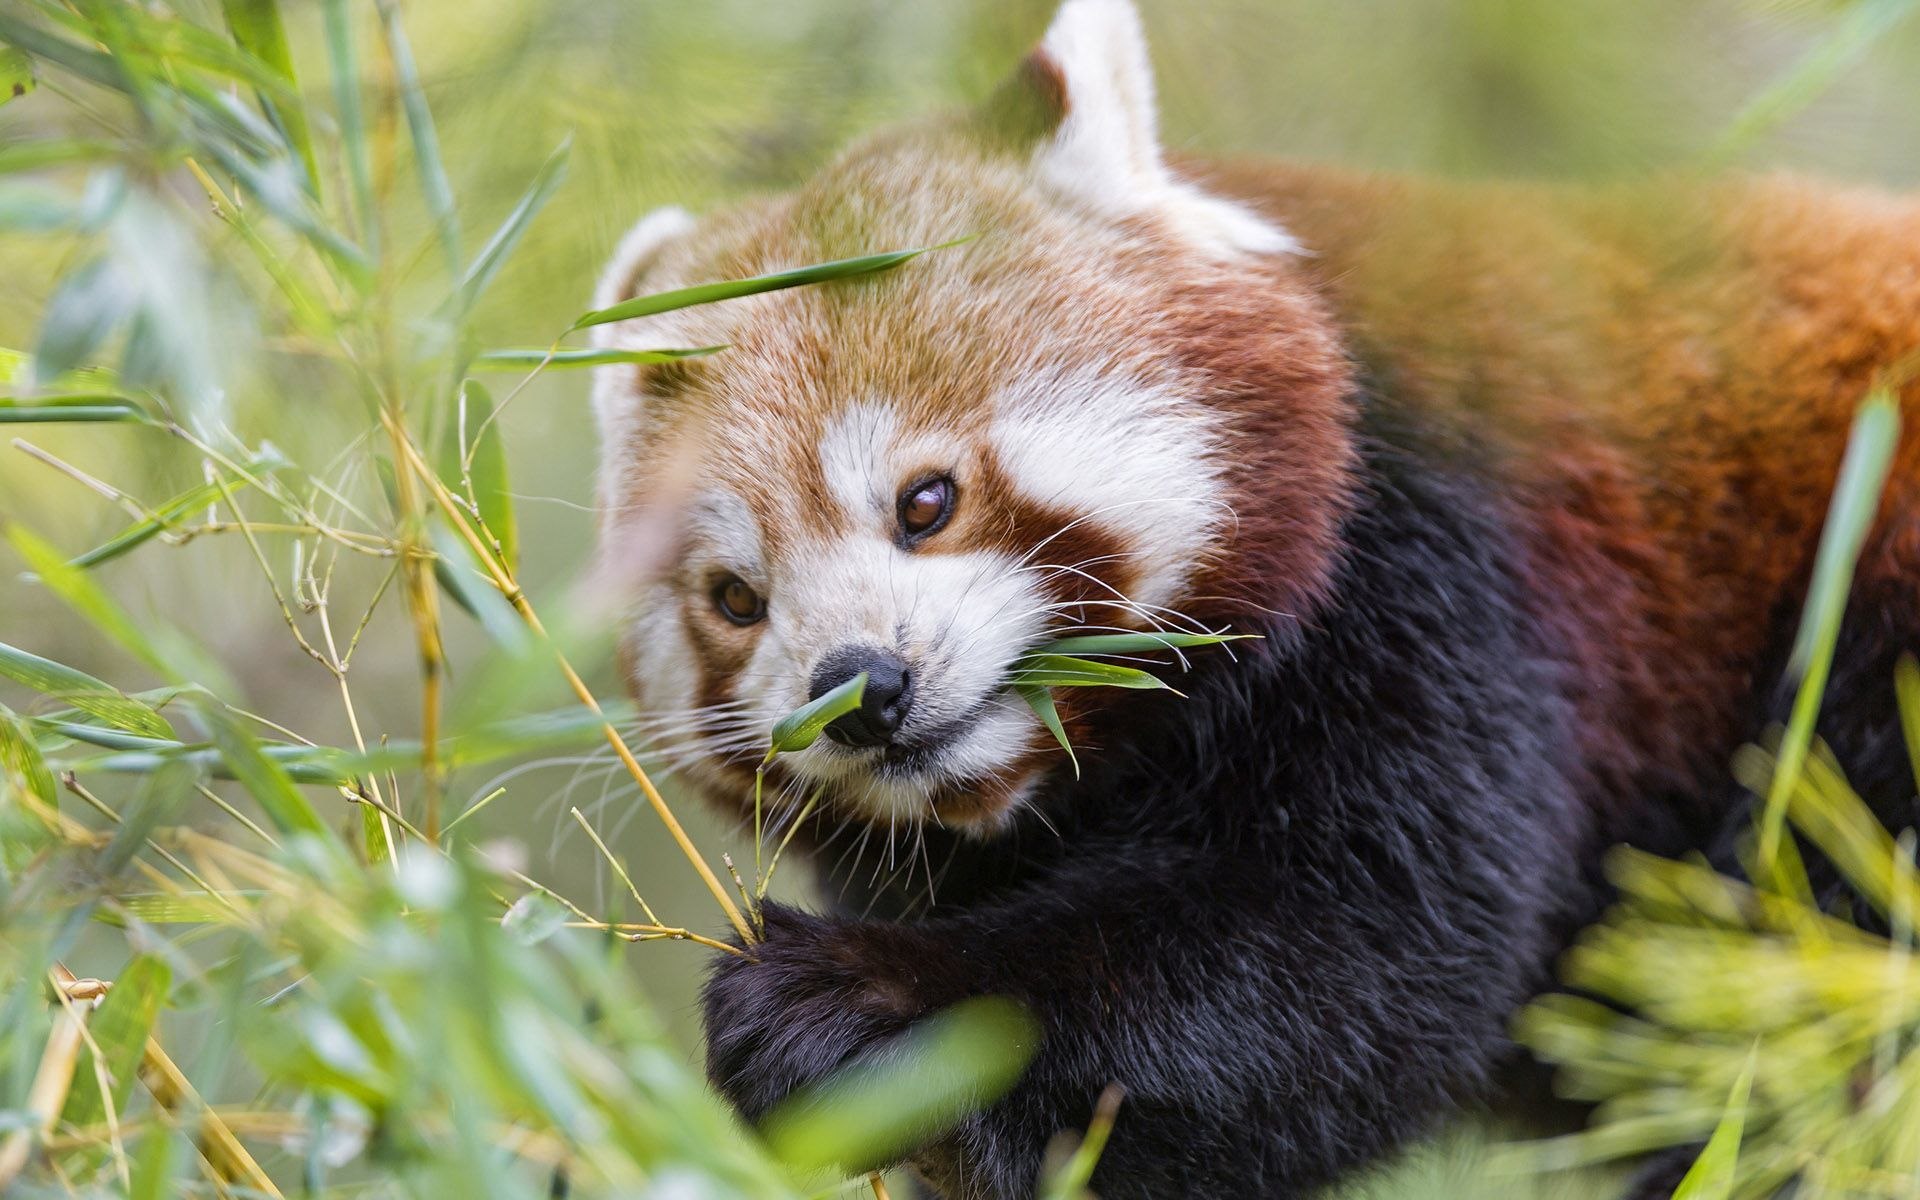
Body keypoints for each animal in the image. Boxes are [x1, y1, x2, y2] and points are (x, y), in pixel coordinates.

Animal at [587, 0, 1920, 1190]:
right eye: (735, 599)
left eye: (926, 501)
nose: (861, 690)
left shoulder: (1441, 578)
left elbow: (1365, 956)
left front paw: (859, 1004)